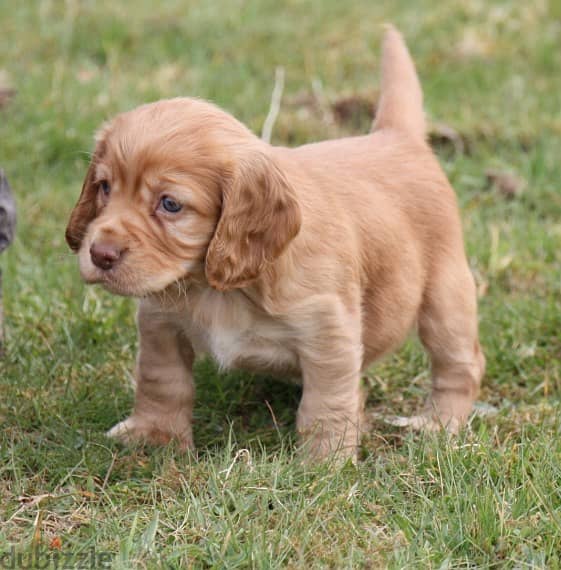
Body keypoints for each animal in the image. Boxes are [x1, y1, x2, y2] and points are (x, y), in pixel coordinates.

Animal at [66, 28, 486, 460]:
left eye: (170, 204)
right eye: (104, 187)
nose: (100, 254)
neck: (216, 288)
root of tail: (396, 137)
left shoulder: (329, 335)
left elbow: (326, 404)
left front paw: (324, 462)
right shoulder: (160, 322)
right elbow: (161, 380)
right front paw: (154, 434)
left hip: (446, 298)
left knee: (460, 363)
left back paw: (439, 423)